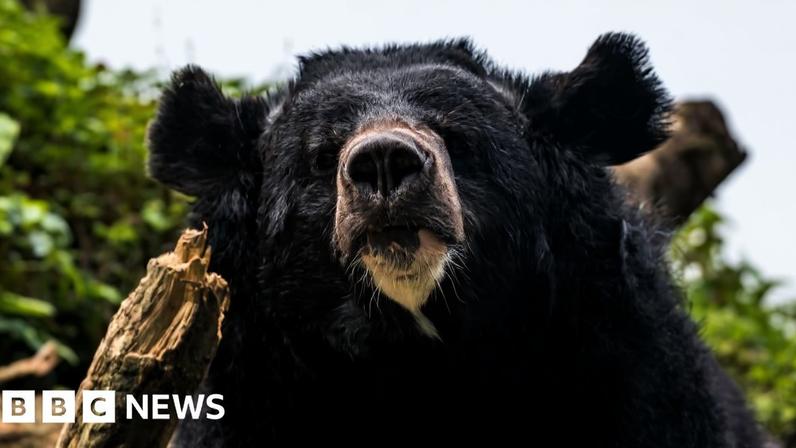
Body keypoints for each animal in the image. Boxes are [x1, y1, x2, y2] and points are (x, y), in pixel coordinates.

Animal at [147, 33, 763, 447]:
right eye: (322, 156)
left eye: (458, 138)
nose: (384, 161)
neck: (422, 353)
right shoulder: (256, 385)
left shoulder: (622, 359)